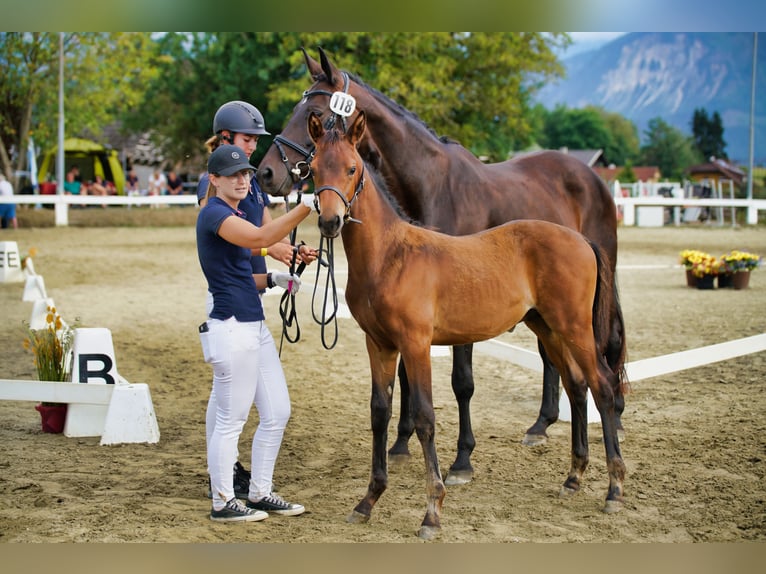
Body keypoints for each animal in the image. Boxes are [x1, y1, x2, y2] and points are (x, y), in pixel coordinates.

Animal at [258, 47, 632, 486]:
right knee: (557, 363)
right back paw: (544, 425)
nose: (266, 173)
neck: (430, 184)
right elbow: (404, 381)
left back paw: (613, 420)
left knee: (605, 348)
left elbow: (462, 383)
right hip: (543, 314)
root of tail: (592, 179)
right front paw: (401, 443)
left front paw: (461, 459)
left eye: (315, 110)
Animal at [308, 112, 628, 540]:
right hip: (548, 327)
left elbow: (425, 417)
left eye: (352, 168)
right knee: (577, 386)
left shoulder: (416, 344)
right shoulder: (379, 344)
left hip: (575, 327)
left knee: (603, 386)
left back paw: (614, 489)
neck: (390, 256)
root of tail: (581, 240)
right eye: (312, 169)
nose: (330, 222)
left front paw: (432, 512)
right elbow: (379, 413)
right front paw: (367, 501)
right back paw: (573, 478)